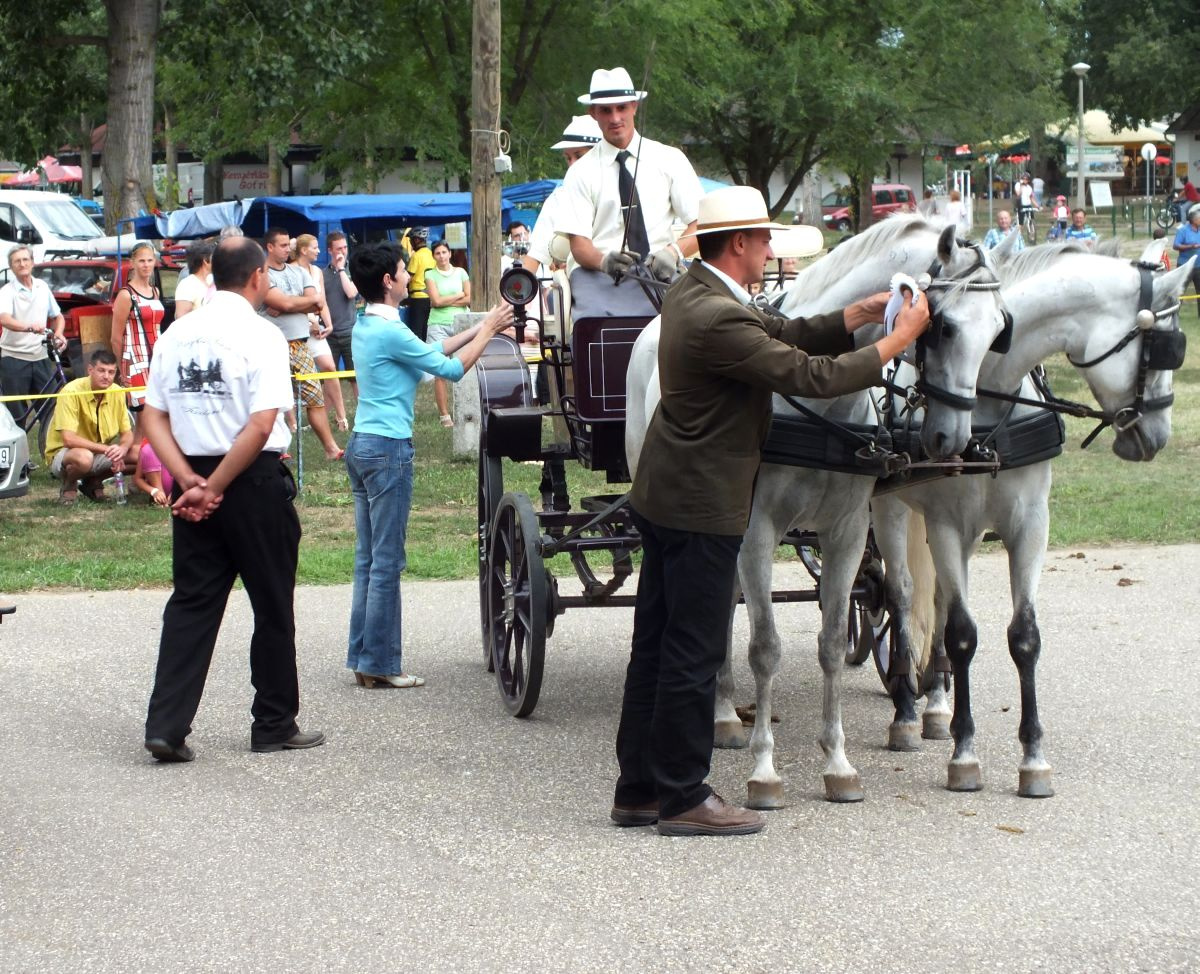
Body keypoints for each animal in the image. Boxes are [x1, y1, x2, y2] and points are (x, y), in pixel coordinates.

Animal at [868, 241, 1195, 791]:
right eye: (1165, 349)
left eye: (999, 330)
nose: (1159, 436)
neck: (985, 415)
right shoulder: (947, 526)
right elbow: (963, 635)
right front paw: (965, 753)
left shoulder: (1029, 527)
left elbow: (1023, 636)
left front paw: (1033, 756)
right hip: (889, 508)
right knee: (904, 595)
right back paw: (908, 712)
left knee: (936, 600)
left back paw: (935, 702)